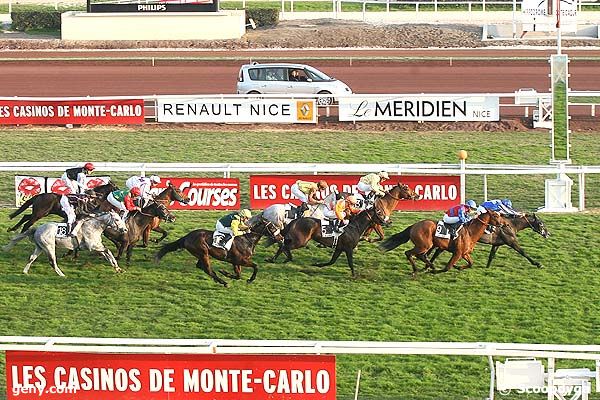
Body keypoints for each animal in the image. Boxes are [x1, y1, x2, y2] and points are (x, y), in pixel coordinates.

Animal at [155, 216, 286, 288]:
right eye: (272, 227)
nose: (281, 238)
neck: (247, 240)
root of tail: (187, 236)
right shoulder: (241, 260)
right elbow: (256, 266)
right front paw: (250, 279)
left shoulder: (235, 261)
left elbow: (238, 275)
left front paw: (226, 273)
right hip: (203, 253)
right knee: (207, 269)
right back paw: (223, 282)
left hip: (202, 254)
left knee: (200, 266)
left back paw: (220, 279)